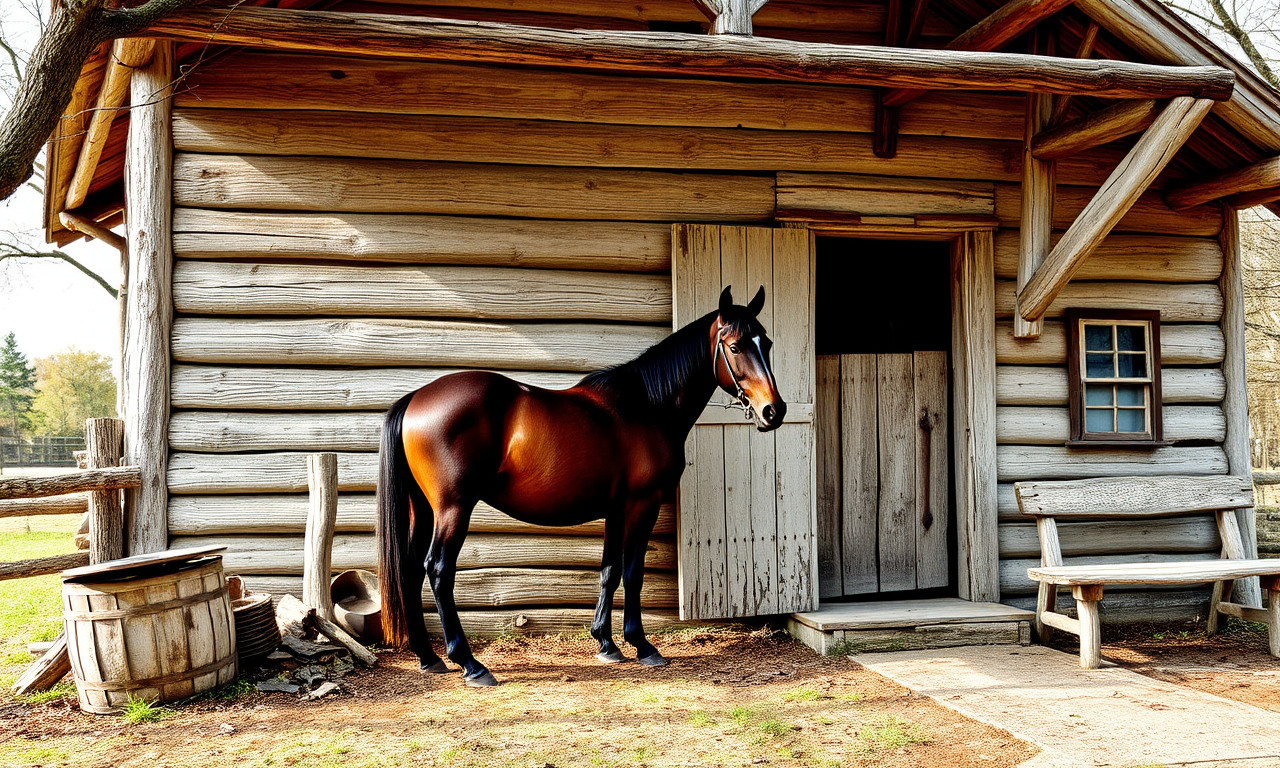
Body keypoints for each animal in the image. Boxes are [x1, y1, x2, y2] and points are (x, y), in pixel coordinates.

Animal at [373, 285, 783, 686]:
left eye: (767, 342)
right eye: (735, 346)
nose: (773, 411)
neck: (647, 405)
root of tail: (415, 399)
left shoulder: (617, 509)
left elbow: (609, 572)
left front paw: (606, 643)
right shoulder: (643, 504)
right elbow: (632, 572)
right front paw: (641, 644)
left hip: (423, 509)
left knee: (410, 570)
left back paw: (429, 658)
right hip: (453, 508)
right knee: (439, 570)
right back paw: (469, 663)